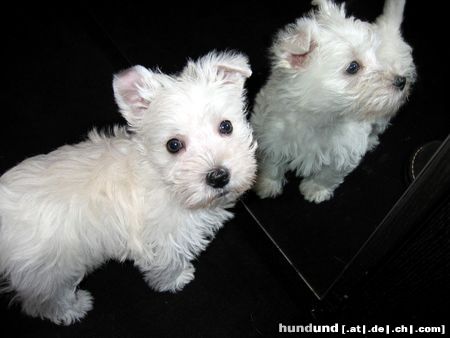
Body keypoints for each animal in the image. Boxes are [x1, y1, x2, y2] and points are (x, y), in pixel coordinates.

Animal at [0, 50, 256, 324]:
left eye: (226, 126)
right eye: (173, 145)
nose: (218, 177)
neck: (161, 178)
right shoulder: (164, 243)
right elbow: (169, 265)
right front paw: (177, 279)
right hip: (48, 273)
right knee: (43, 302)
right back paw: (75, 308)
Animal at [251, 0, 416, 203]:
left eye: (377, 57)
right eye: (353, 67)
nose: (401, 81)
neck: (318, 118)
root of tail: (389, 30)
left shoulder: (345, 152)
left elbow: (328, 175)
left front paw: (315, 190)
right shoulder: (270, 137)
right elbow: (272, 165)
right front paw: (267, 185)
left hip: (385, 112)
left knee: (379, 126)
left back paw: (371, 141)